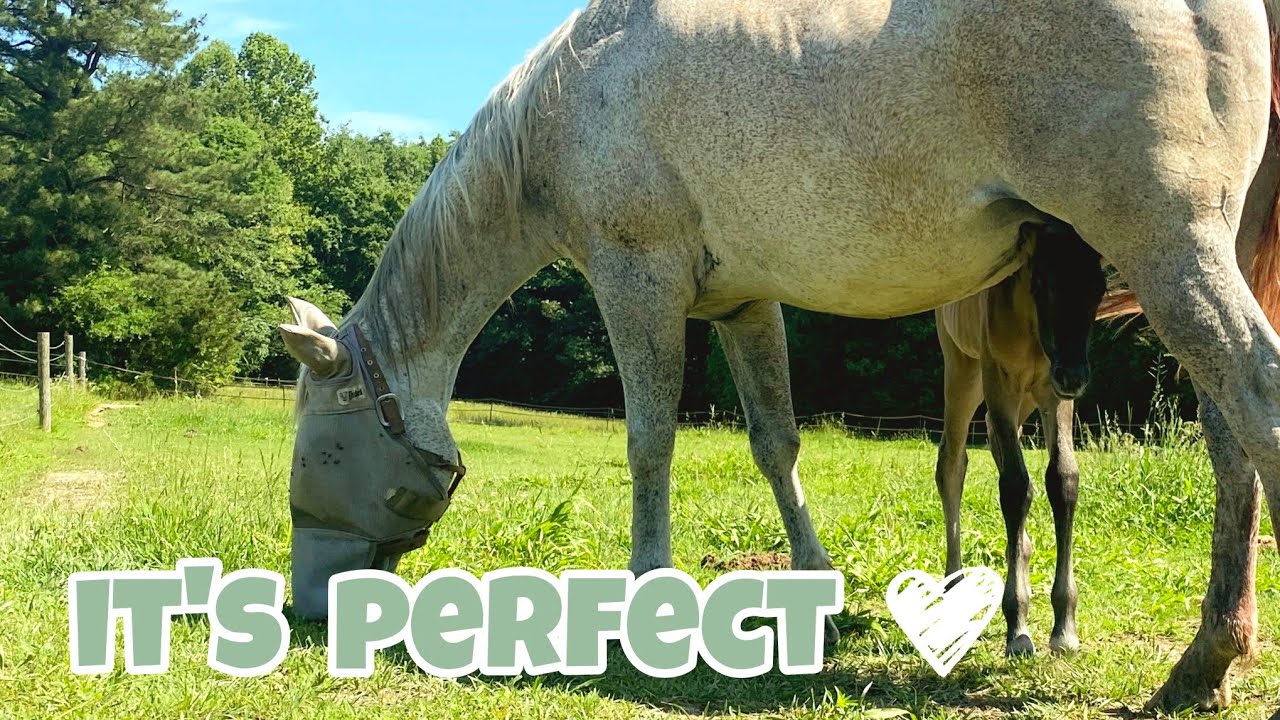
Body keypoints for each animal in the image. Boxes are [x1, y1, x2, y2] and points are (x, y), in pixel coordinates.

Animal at [933, 221, 1107, 658]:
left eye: (1098, 288)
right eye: (1040, 281)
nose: (1075, 374)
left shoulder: (1051, 391)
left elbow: (1062, 478)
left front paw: (1064, 628)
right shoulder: (1000, 380)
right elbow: (1013, 486)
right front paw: (1018, 628)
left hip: (1024, 402)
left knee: (998, 440)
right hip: (963, 369)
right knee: (952, 464)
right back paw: (954, 584)